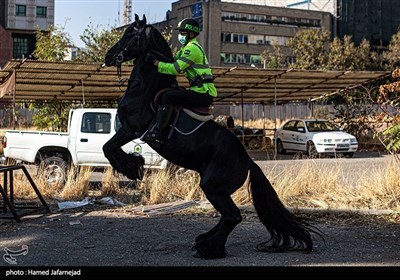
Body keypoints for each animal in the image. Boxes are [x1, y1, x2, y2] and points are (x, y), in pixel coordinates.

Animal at [104, 14, 322, 260]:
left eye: (131, 34)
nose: (109, 57)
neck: (145, 88)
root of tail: (248, 160)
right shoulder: (128, 130)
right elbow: (109, 148)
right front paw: (134, 165)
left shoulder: (131, 128)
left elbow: (109, 148)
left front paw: (132, 167)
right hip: (214, 187)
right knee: (228, 217)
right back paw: (204, 240)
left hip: (213, 186)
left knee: (232, 216)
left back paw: (209, 248)